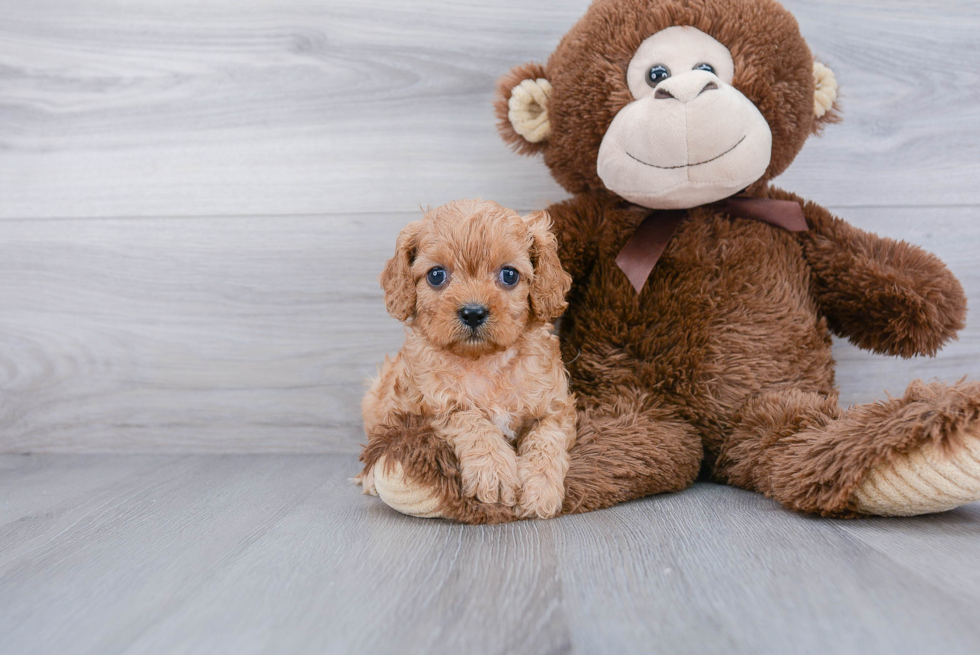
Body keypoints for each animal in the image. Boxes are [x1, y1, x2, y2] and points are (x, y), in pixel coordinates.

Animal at [358, 199, 576, 516]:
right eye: (436, 275)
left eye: (509, 275)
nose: (473, 312)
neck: (484, 361)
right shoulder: (433, 407)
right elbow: (471, 420)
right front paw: (494, 472)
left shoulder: (556, 408)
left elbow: (546, 440)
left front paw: (541, 489)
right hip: (376, 401)